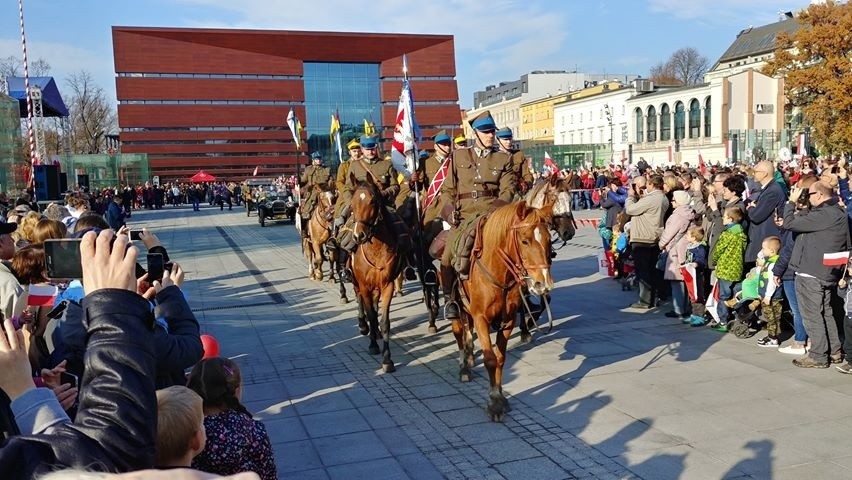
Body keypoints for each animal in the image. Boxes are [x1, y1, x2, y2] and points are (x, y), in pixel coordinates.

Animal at [350, 174, 410, 374]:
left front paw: (387, 359)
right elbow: (370, 314)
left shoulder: (387, 285)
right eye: (352, 203)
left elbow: (384, 321)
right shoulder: (364, 285)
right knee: (360, 300)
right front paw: (373, 346)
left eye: (373, 201)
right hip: (357, 283)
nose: (359, 236)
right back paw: (363, 326)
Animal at [450, 179, 564, 420]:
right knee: (458, 330)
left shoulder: (508, 320)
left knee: (466, 331)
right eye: (525, 240)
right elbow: (490, 358)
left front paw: (500, 395)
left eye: (549, 240)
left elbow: (501, 358)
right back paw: (464, 366)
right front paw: (494, 402)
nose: (542, 283)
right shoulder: (482, 318)